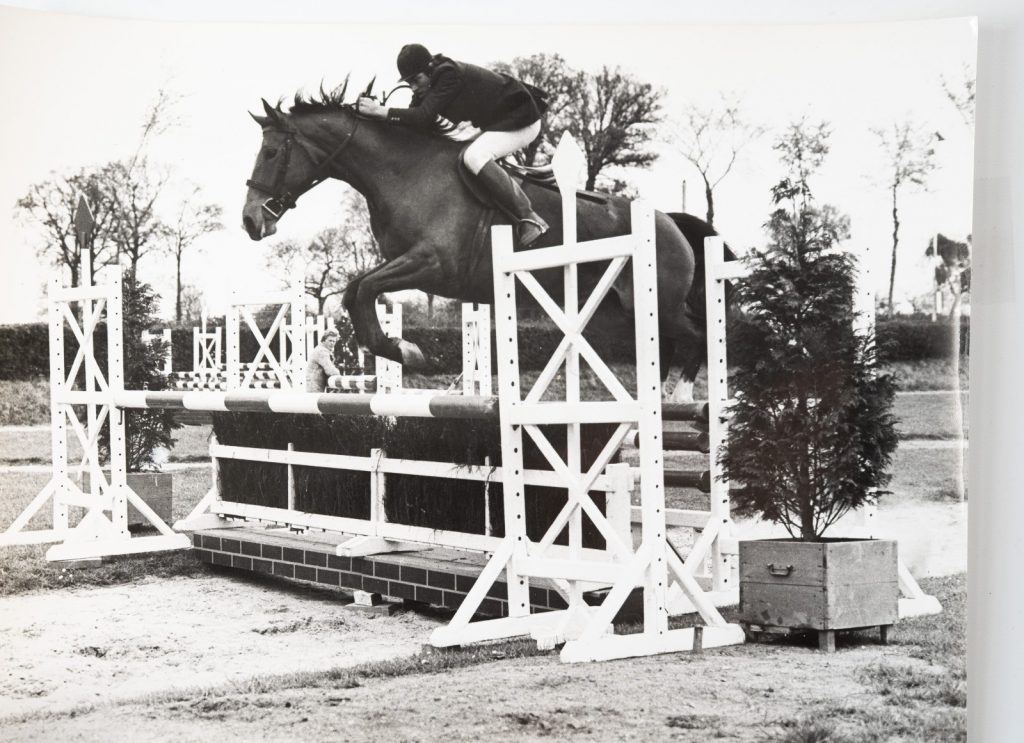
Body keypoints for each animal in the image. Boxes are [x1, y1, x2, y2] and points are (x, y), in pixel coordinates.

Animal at [241, 86, 724, 402]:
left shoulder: (433, 264)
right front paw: (399, 348)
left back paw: (682, 395)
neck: (402, 172)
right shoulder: (405, 262)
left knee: (699, 333)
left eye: (270, 153)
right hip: (625, 309)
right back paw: (659, 396)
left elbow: (362, 289)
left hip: (656, 301)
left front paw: (407, 351)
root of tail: (670, 221)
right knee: (667, 340)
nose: (250, 220)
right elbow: (356, 290)